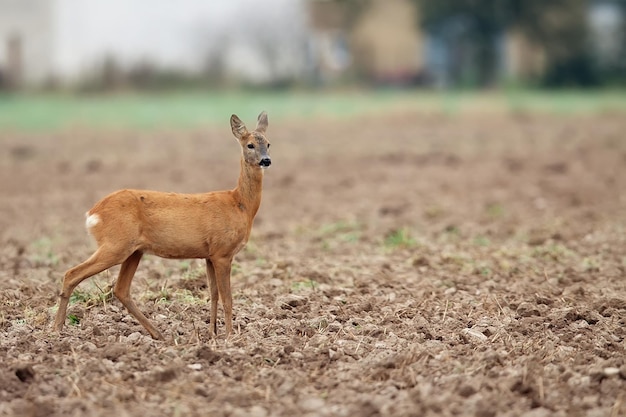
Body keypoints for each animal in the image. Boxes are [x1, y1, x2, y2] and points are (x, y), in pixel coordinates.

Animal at [51, 111, 270, 338]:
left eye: (268, 144)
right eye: (250, 145)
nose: (266, 160)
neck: (240, 204)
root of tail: (93, 212)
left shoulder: (210, 254)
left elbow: (214, 294)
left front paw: (212, 334)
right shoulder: (223, 252)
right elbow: (227, 298)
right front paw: (230, 337)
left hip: (134, 251)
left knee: (121, 289)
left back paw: (158, 334)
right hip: (115, 245)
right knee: (71, 274)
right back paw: (57, 328)